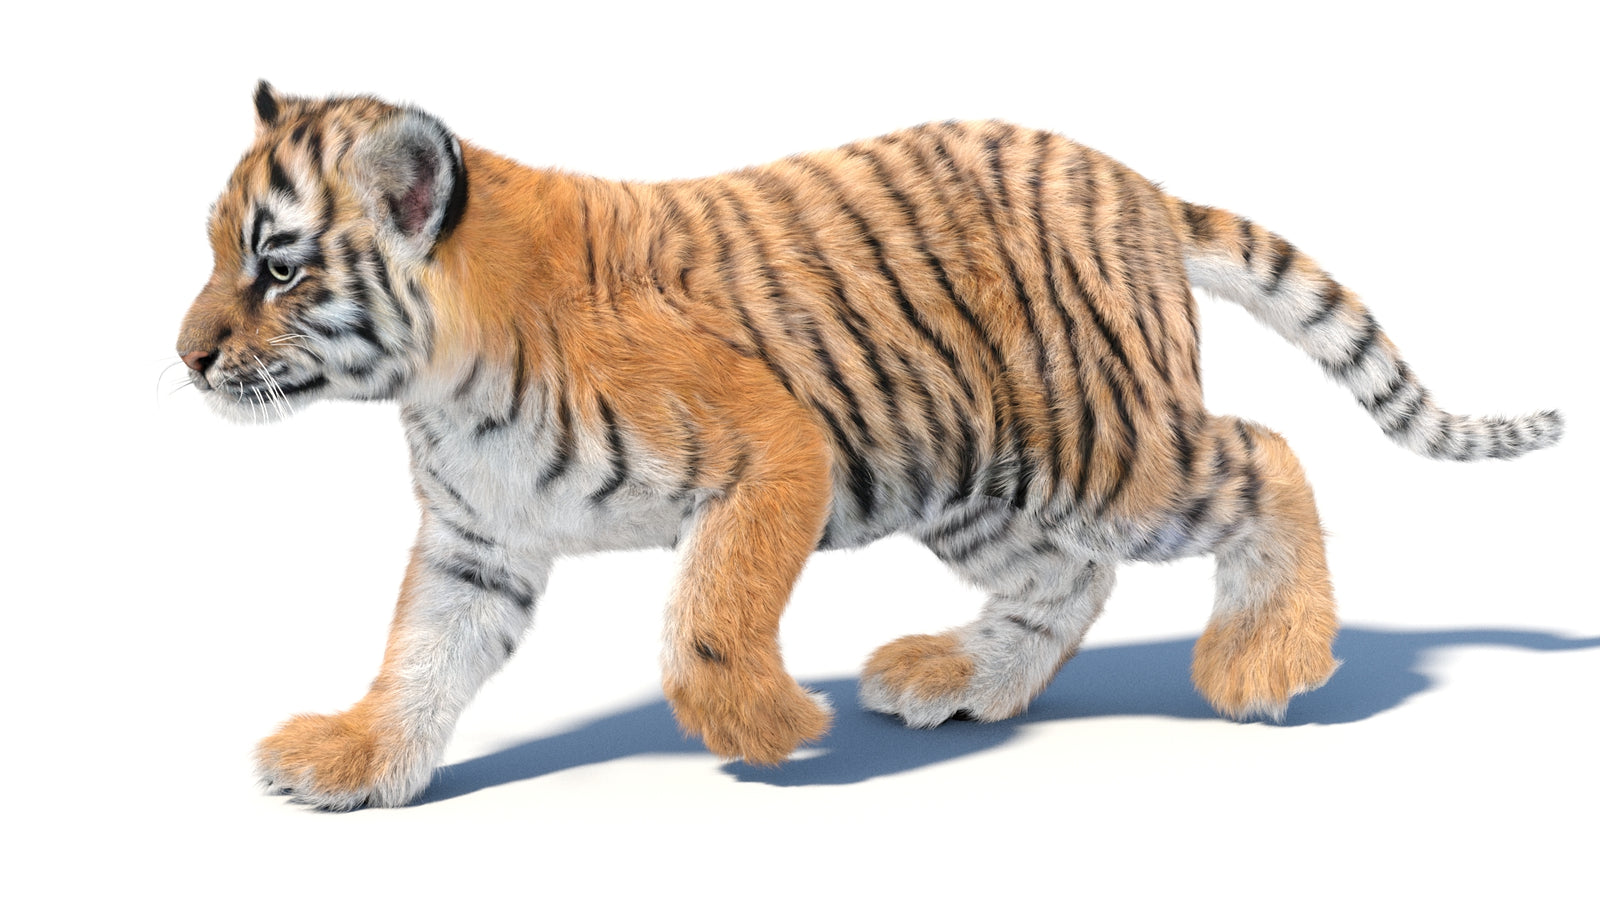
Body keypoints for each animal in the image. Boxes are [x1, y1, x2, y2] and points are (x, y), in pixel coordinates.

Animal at [177, 82, 1563, 810]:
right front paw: (356, 760)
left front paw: (768, 726)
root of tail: (1134, 187)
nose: (186, 356)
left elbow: (706, 617)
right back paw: (961, 680)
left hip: (1111, 452)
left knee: (1267, 456)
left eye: (278, 266)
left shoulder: (772, 446)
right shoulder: (479, 541)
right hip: (977, 478)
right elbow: (420, 655)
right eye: (215, 249)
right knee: (1071, 579)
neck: (441, 379)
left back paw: (1265, 661)